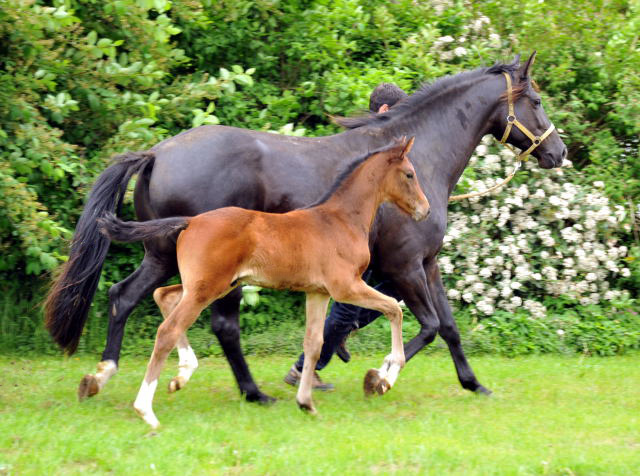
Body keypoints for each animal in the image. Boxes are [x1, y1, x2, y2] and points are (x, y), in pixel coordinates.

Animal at [100, 137, 430, 428]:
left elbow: (313, 343)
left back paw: (181, 375)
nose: (424, 209)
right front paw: (388, 373)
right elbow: (393, 308)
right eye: (410, 174)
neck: (341, 220)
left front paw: (306, 403)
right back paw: (146, 409)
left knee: (163, 295)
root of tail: (190, 221)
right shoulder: (345, 286)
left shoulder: (318, 293)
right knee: (168, 329)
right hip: (207, 288)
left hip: (211, 284)